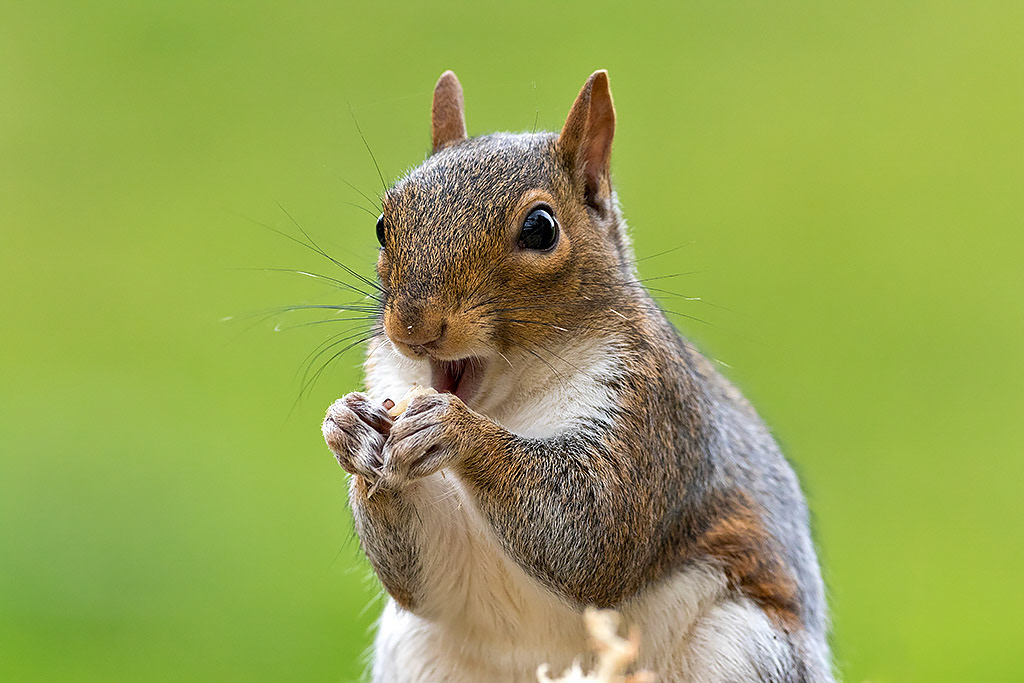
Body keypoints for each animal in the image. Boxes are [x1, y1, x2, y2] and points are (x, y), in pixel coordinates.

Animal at [321, 70, 833, 682]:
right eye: (383, 224)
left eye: (541, 229)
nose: (413, 326)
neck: (507, 403)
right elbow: (419, 577)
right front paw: (347, 428)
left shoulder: (653, 413)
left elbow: (592, 532)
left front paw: (454, 430)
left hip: (746, 647)